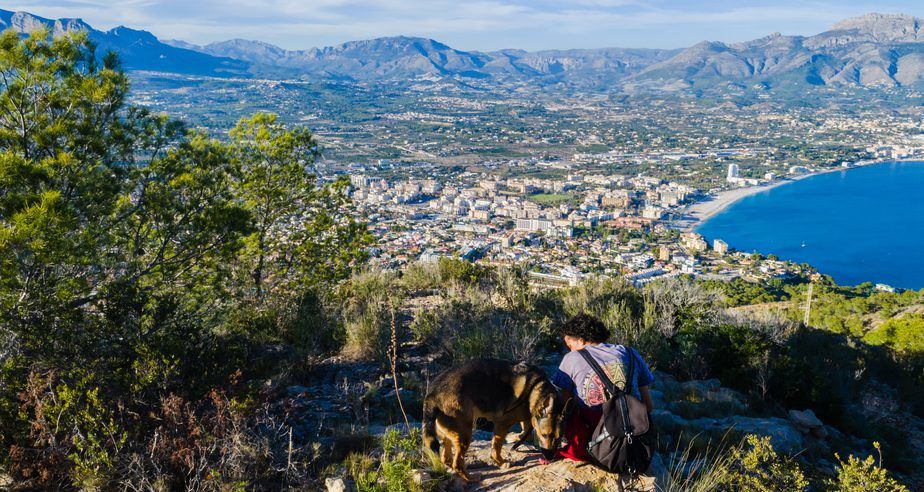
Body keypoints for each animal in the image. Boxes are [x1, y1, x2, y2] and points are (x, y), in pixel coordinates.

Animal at [420, 358, 572, 480]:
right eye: (544, 435)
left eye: (559, 438)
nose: (549, 457)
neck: (536, 387)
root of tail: (432, 394)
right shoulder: (503, 423)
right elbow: (496, 448)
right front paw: (501, 461)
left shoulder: (527, 417)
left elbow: (525, 431)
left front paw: (513, 438)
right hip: (466, 432)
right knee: (457, 463)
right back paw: (472, 478)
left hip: (450, 433)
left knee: (446, 458)